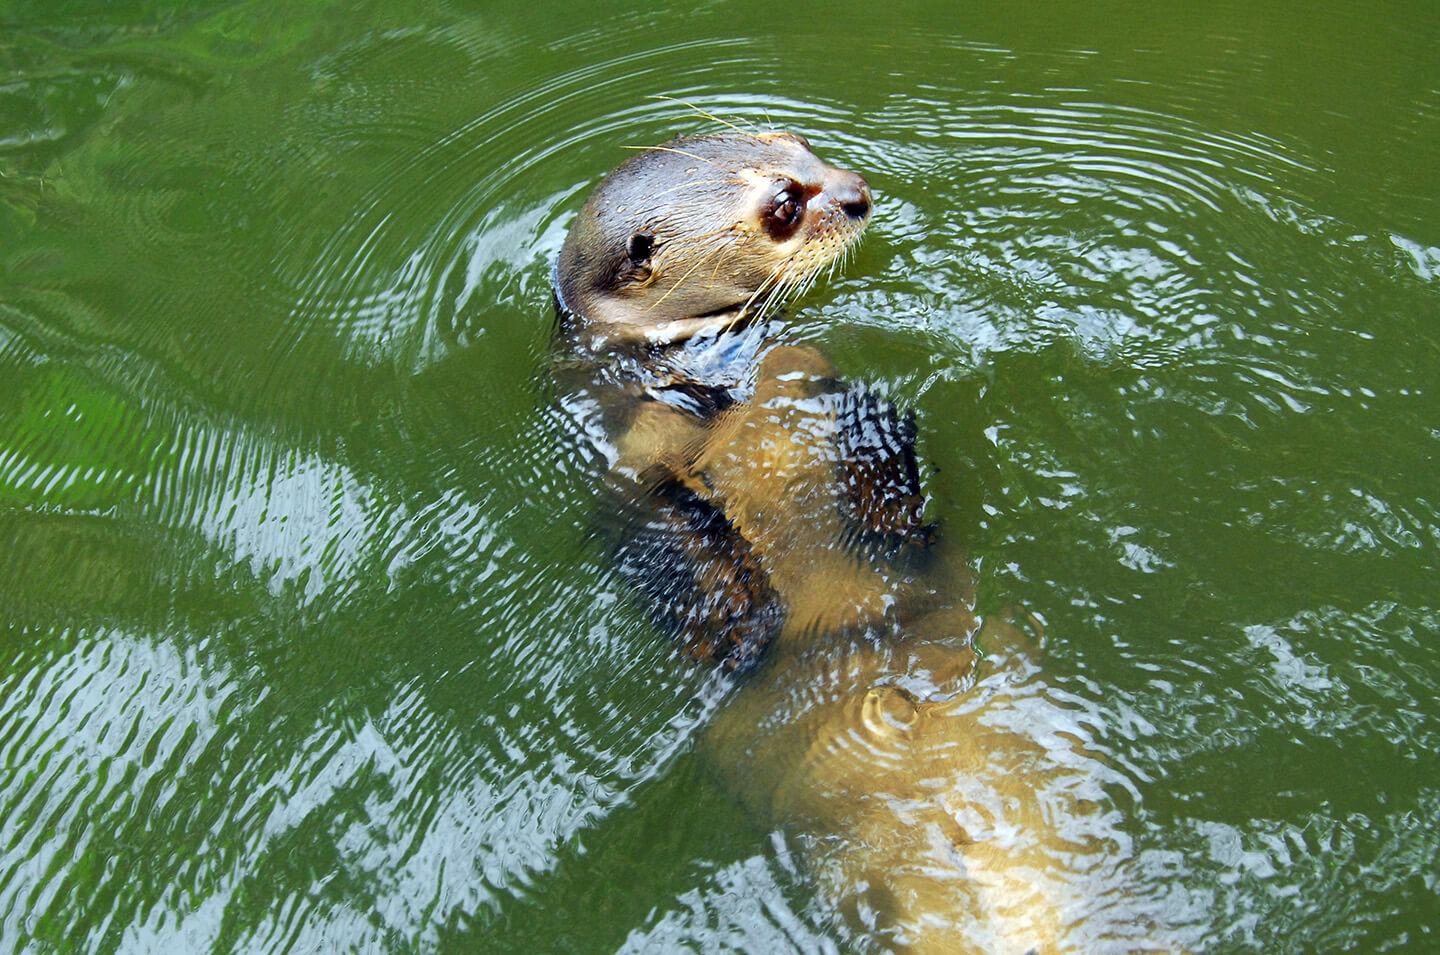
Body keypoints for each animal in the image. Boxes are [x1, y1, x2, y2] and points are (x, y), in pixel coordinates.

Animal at [554, 130, 1184, 953]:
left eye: (798, 141)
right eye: (784, 205)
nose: (856, 192)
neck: (710, 384)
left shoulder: (811, 369)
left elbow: (879, 430)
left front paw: (887, 505)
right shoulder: (622, 464)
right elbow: (652, 534)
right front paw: (737, 618)